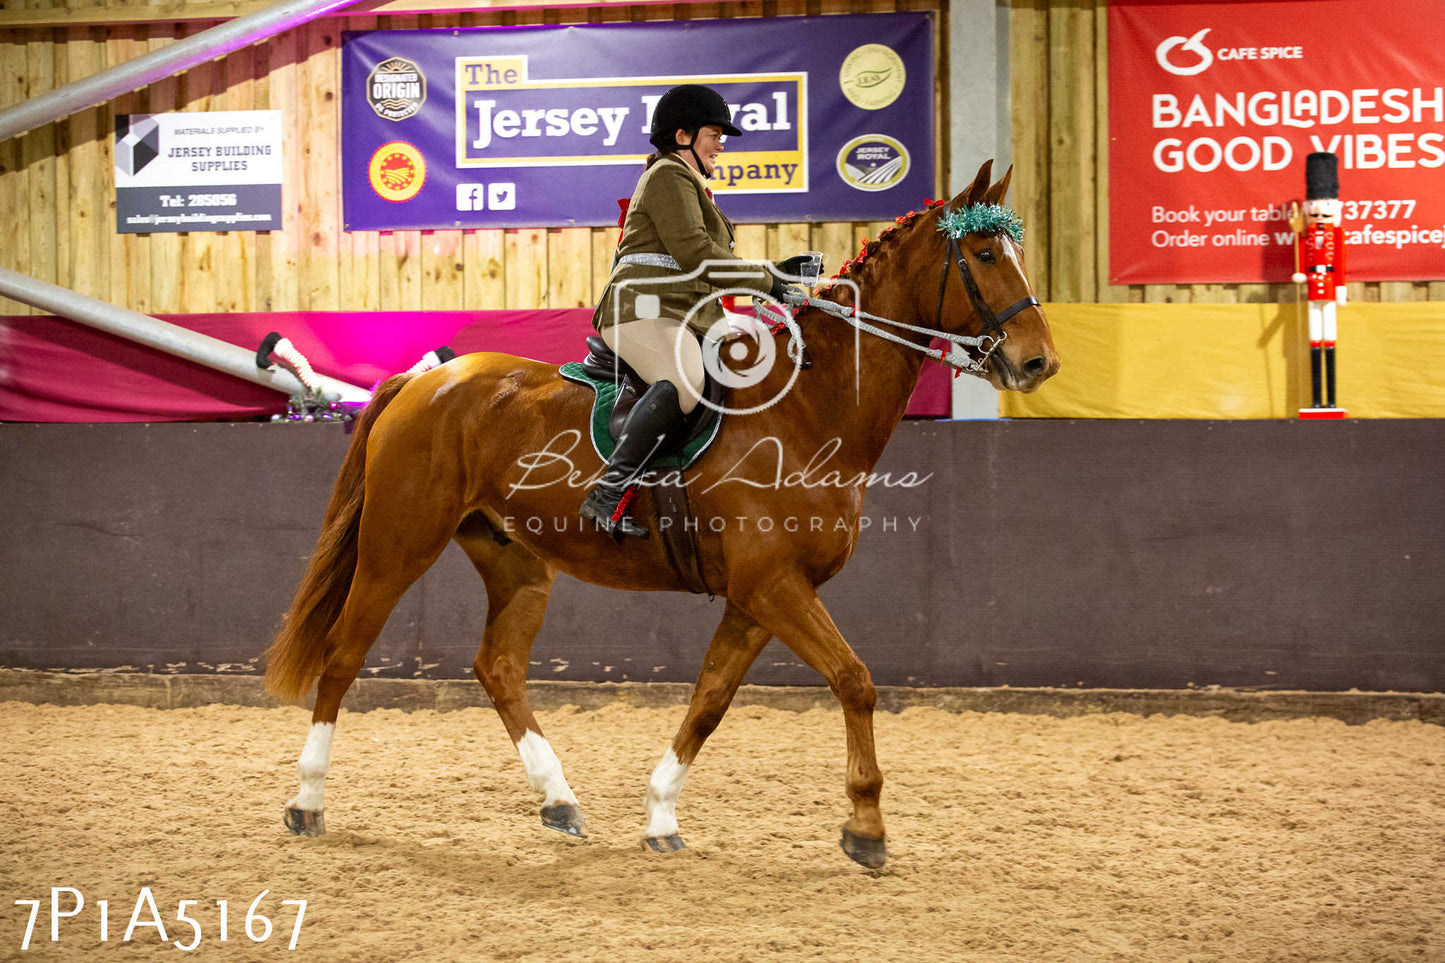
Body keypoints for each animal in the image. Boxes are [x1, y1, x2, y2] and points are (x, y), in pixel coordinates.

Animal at [262, 161, 1051, 867]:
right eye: (984, 254)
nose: (1038, 362)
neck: (805, 407)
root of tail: (424, 380)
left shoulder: (757, 596)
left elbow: (710, 699)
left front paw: (661, 815)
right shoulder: (774, 586)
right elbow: (854, 680)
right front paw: (865, 827)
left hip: (515, 560)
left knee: (499, 667)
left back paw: (558, 799)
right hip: (398, 546)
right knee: (342, 656)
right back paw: (307, 802)